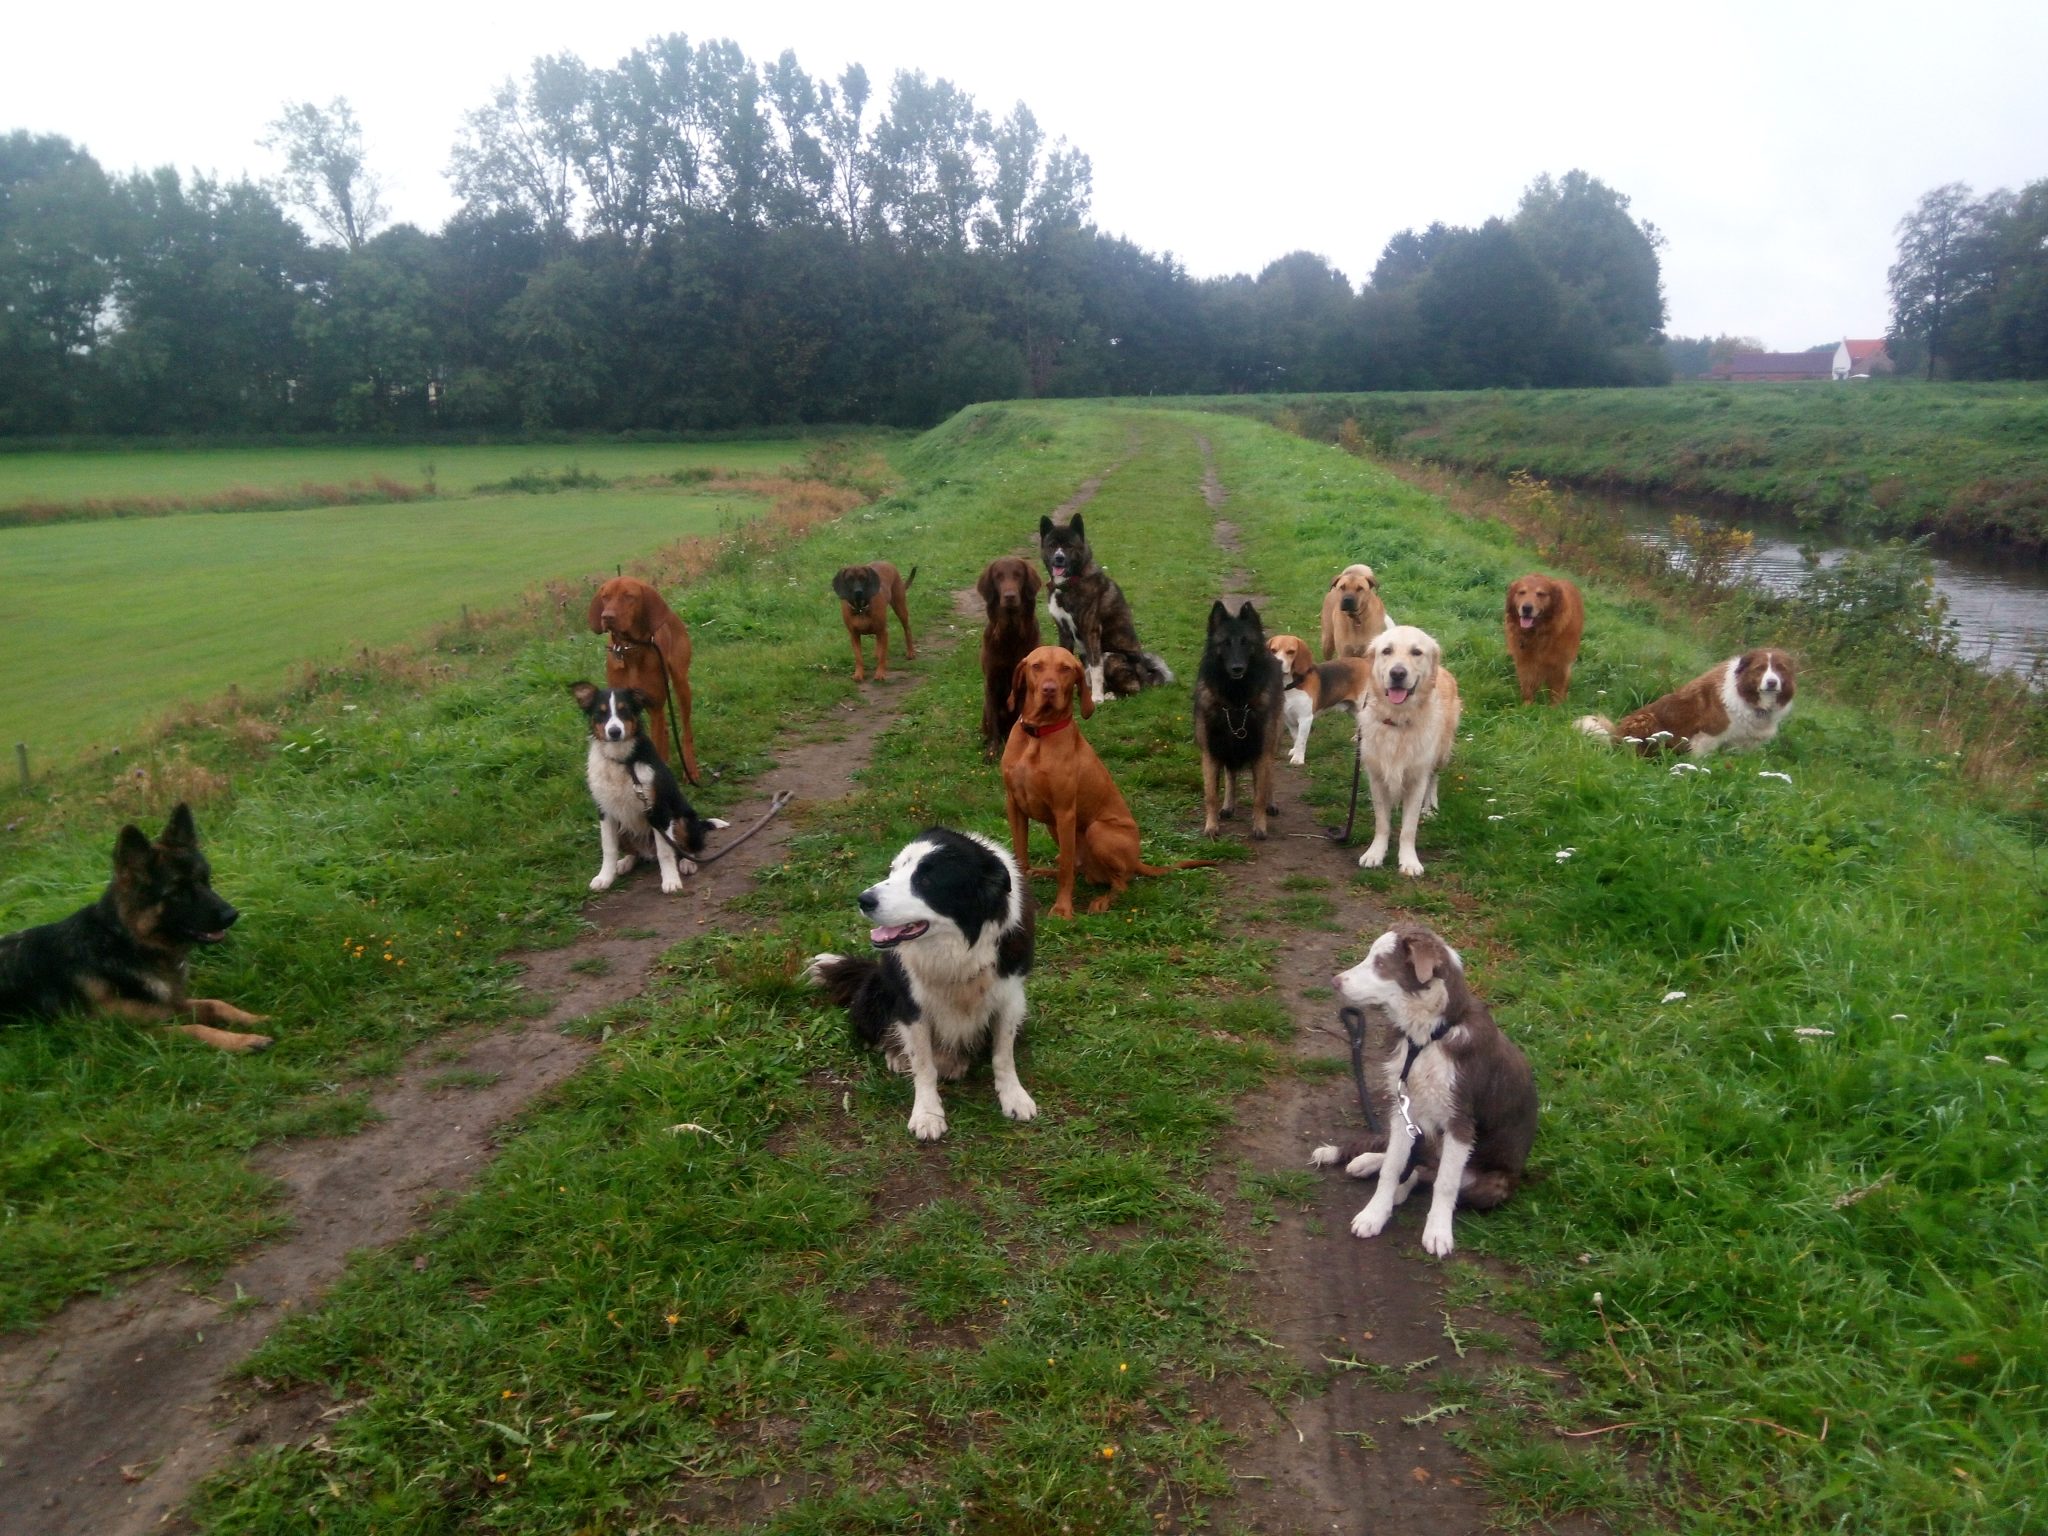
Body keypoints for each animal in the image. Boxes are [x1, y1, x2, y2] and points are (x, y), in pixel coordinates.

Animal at [589, 581, 700, 786]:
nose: (606, 616)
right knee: (665, 729)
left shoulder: (655, 706)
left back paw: (690, 768)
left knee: (685, 730)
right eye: (605, 596)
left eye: (629, 596)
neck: (629, 649)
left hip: (681, 684)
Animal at [999, 647, 1204, 921]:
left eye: (1065, 668)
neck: (1038, 736)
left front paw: (1062, 909)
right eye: (1037, 666)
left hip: (1096, 830)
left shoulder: (1065, 812)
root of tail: (1136, 859)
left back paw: (1102, 901)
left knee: (1120, 882)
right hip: (1055, 828)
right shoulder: (1015, 806)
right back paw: (1043, 872)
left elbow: (1065, 869)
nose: (1049, 689)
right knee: (1077, 867)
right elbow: (1021, 856)